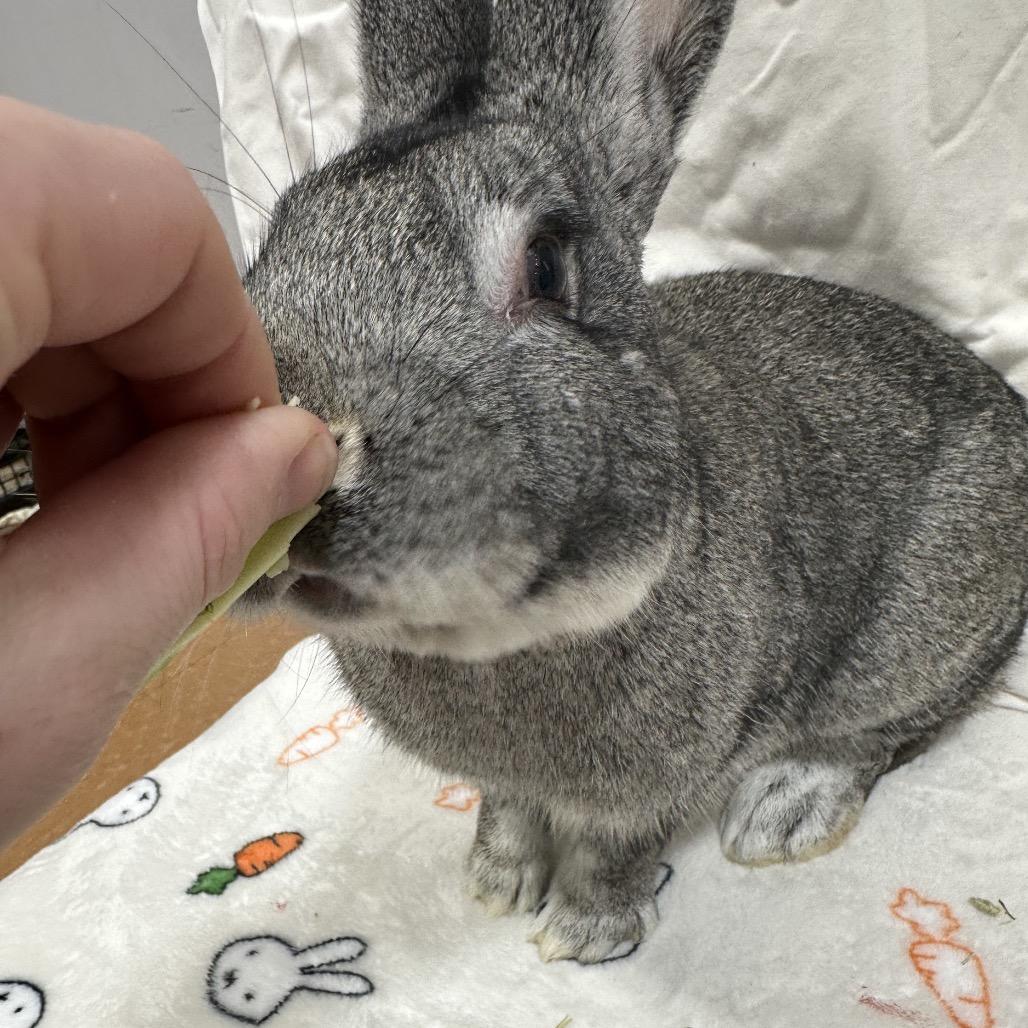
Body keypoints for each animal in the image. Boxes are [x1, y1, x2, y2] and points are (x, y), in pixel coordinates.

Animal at [238, 0, 1028, 963]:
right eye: (269, 252)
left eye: (545, 265)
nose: (305, 466)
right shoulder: (507, 779)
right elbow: (509, 809)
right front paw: (496, 884)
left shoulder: (666, 776)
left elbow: (613, 848)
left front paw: (582, 934)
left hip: (925, 626)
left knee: (899, 723)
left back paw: (782, 812)